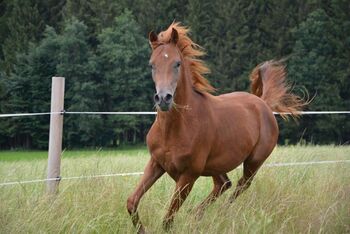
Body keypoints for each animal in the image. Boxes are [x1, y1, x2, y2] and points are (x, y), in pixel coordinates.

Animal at [126, 22, 304, 234]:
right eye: (152, 64)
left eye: (177, 63)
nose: (163, 99)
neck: (175, 128)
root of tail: (263, 104)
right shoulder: (156, 163)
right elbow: (132, 202)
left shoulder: (188, 176)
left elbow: (168, 219)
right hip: (216, 164)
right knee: (224, 184)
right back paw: (197, 215)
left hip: (253, 162)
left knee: (240, 186)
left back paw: (220, 214)